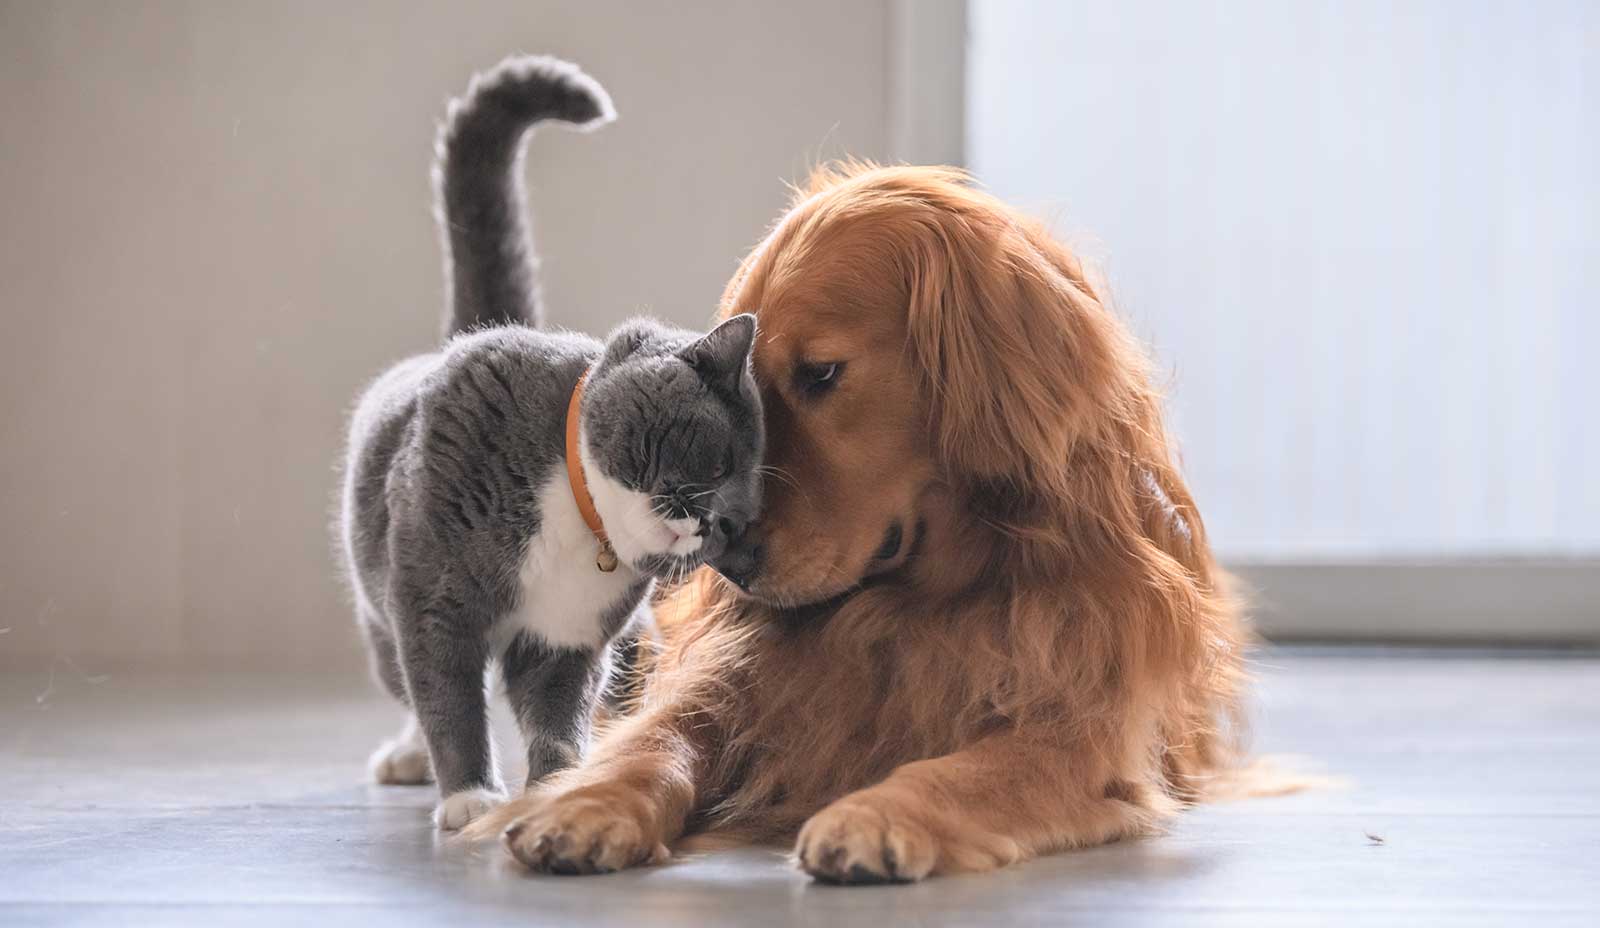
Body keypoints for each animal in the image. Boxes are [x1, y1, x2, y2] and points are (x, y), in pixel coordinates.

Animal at [334, 54, 764, 832]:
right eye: (717, 462)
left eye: (743, 520)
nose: (716, 523)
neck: (576, 516)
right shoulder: (433, 599)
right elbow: (447, 695)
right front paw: (470, 796)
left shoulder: (569, 637)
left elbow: (557, 713)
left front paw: (558, 787)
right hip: (378, 600)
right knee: (405, 680)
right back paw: (409, 757)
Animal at [473, 161, 1248, 883]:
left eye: (820, 373)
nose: (728, 563)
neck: (918, 600)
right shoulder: (731, 682)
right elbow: (653, 741)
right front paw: (583, 803)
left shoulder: (1081, 731)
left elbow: (964, 770)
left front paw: (875, 815)